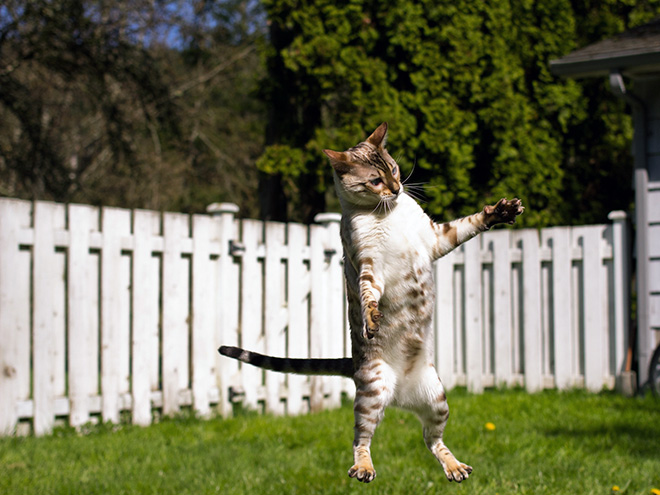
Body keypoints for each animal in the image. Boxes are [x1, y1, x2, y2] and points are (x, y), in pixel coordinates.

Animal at [219, 123, 524, 484]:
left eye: (393, 169)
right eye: (375, 181)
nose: (396, 188)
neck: (388, 213)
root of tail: (399, 395)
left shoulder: (436, 239)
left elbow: (469, 224)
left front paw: (501, 211)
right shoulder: (368, 264)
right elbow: (367, 294)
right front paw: (371, 318)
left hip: (437, 399)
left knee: (432, 440)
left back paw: (455, 468)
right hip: (373, 392)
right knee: (361, 439)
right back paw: (364, 468)